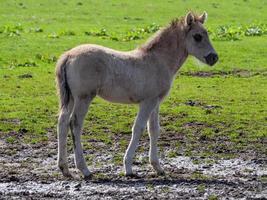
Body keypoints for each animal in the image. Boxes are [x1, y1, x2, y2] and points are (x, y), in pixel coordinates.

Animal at [56, 12, 218, 178]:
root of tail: (68, 55)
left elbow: (154, 130)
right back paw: (84, 169)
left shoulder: (155, 102)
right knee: (75, 124)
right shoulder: (147, 102)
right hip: (84, 98)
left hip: (71, 98)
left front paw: (157, 167)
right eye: (197, 36)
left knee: (62, 123)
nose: (214, 57)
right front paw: (128, 168)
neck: (158, 61)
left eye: (206, 34)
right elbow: (138, 128)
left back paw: (64, 169)